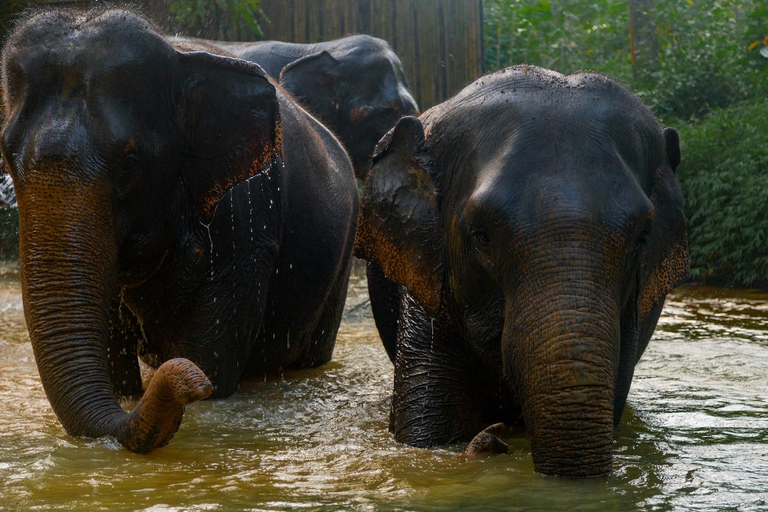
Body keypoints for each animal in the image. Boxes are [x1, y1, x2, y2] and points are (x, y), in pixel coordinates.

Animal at [0, 9, 360, 452]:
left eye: (129, 163)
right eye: (7, 156)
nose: (191, 381)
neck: (178, 59)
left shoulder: (247, 222)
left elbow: (212, 353)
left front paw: (203, 379)